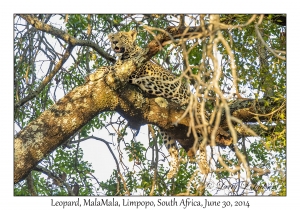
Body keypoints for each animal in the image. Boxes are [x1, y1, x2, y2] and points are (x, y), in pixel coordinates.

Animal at [88, 30, 210, 179]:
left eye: (121, 36)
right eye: (112, 37)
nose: (114, 41)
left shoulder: (131, 72)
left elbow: (108, 66)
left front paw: (94, 74)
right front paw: (94, 74)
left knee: (202, 143)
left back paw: (204, 166)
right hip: (165, 129)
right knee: (174, 151)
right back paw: (172, 171)